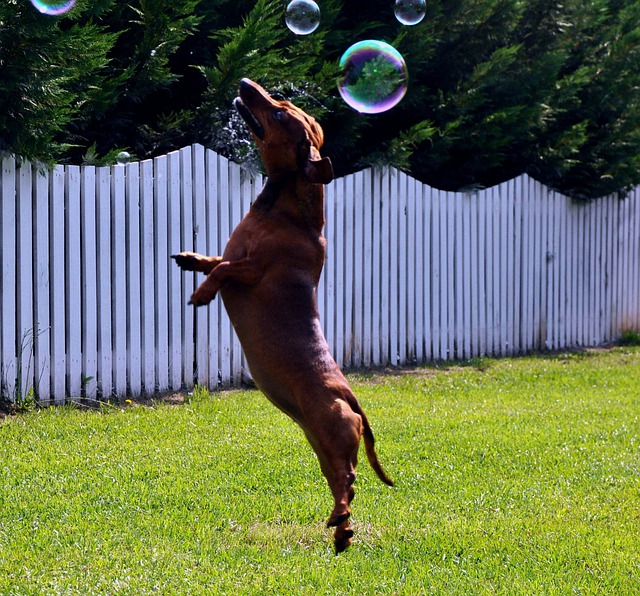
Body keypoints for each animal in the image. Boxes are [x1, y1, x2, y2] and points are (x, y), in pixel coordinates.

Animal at [171, 79, 390, 556]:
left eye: (279, 112)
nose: (244, 84)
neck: (283, 212)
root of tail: (351, 397)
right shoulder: (233, 254)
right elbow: (214, 259)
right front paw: (190, 260)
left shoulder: (252, 271)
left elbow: (223, 270)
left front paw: (202, 292)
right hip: (321, 443)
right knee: (342, 484)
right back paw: (341, 530)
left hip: (332, 430)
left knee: (349, 479)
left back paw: (341, 522)